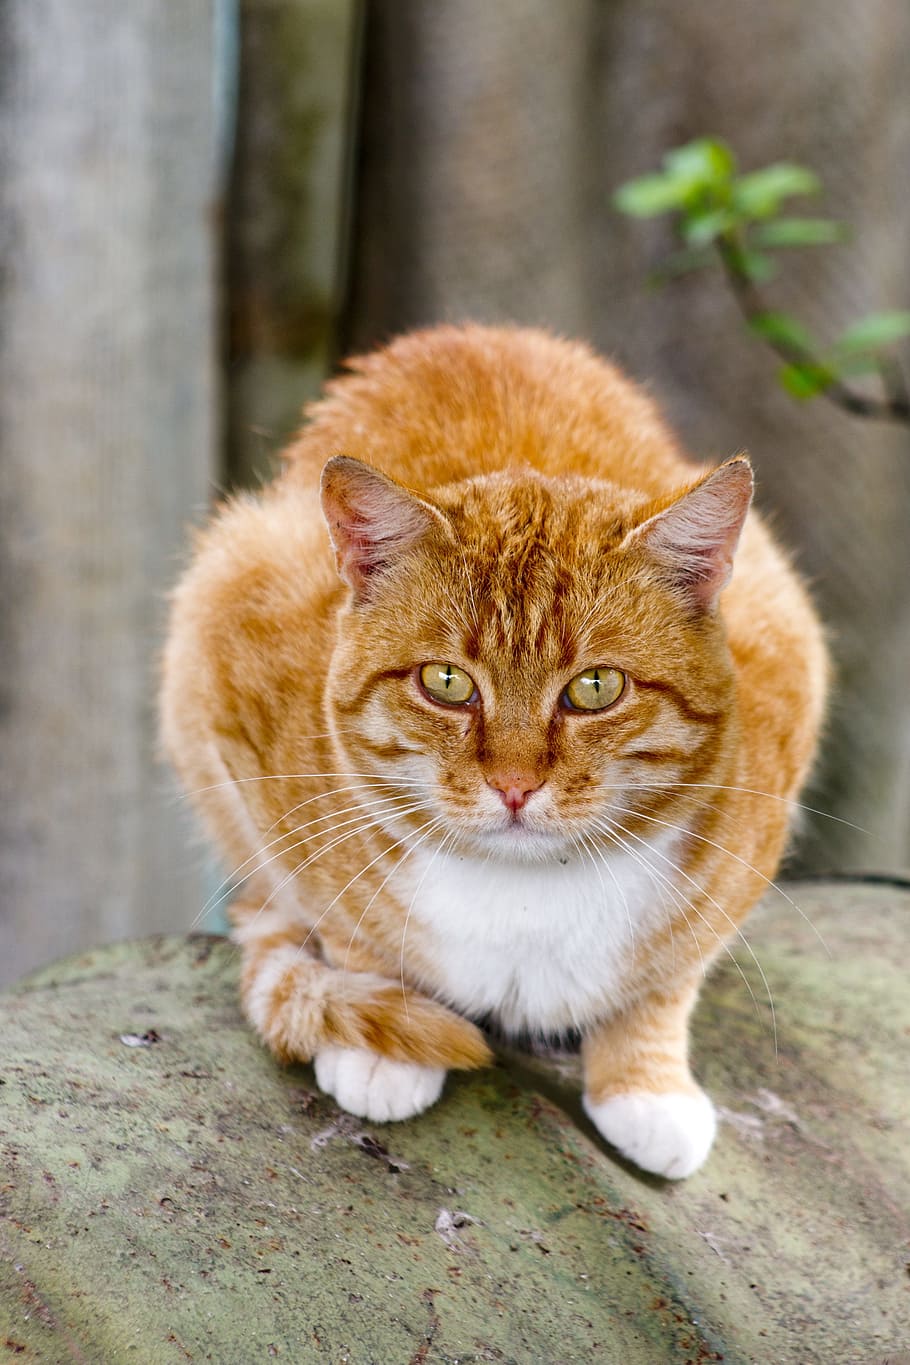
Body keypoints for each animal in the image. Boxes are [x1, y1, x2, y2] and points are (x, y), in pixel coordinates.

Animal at [160, 324, 829, 1179]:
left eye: (595, 687)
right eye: (446, 682)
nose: (514, 785)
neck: (526, 898)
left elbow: (671, 976)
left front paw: (645, 1083)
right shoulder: (234, 689)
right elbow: (346, 923)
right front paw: (385, 1037)